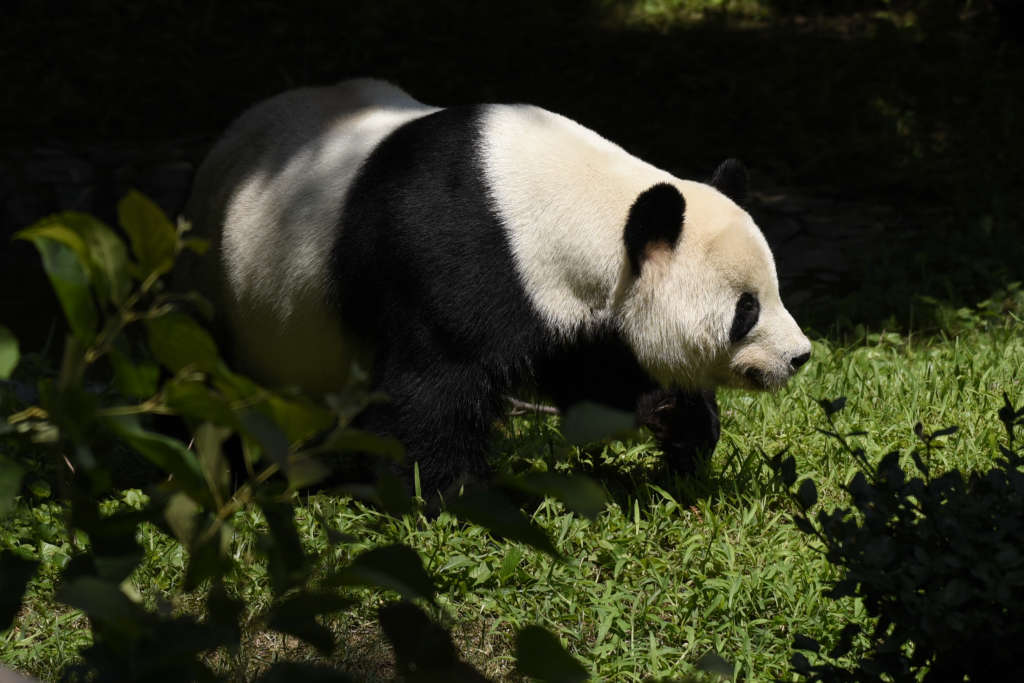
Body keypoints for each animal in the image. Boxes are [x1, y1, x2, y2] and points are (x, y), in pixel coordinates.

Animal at [184, 78, 811, 495]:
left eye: (776, 290)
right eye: (746, 310)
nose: (800, 357)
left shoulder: (564, 299)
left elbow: (597, 370)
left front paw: (678, 421)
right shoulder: (449, 256)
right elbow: (430, 385)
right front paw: (455, 492)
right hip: (225, 287)